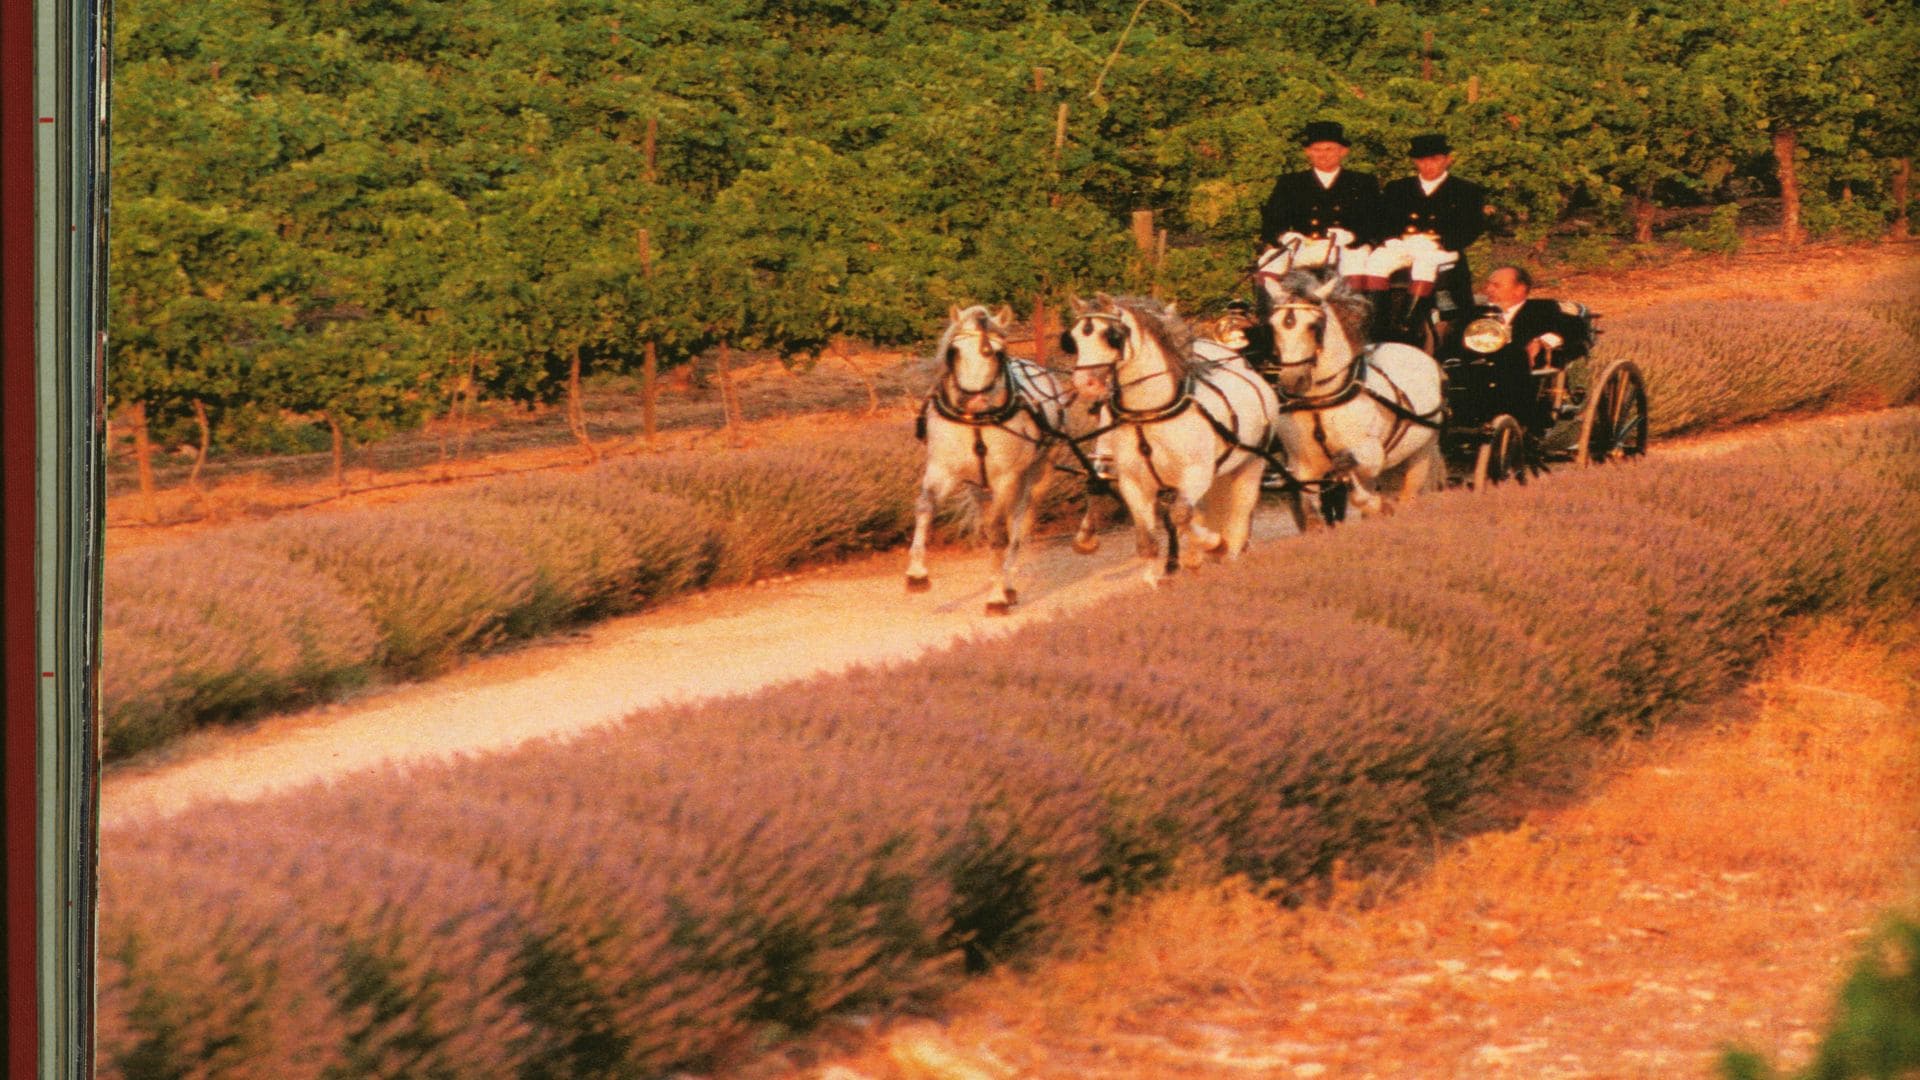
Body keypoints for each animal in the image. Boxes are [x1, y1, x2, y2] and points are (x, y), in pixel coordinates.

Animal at [906, 303, 1075, 611]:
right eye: (954, 351)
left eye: (998, 352)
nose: (974, 401)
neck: (975, 422)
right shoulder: (942, 469)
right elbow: (925, 507)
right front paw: (916, 574)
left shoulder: (1005, 478)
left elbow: (999, 533)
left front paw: (996, 596)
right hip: (979, 486)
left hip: (1038, 474)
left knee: (1019, 525)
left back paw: (1007, 584)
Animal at [1059, 292, 1282, 580]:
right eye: (1073, 338)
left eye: (1111, 336)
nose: (1084, 383)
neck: (1150, 411)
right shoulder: (1133, 482)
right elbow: (1148, 542)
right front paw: (1160, 577)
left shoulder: (1196, 473)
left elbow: (1180, 515)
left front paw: (1212, 545)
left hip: (1250, 466)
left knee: (1238, 520)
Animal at [1259, 265, 1443, 526]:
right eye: (1274, 326)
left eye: (1314, 325)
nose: (1293, 381)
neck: (1321, 400)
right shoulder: (1303, 466)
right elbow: (1312, 511)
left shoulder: (1372, 454)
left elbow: (1353, 478)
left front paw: (1381, 506)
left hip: (1422, 452)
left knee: (1410, 496)